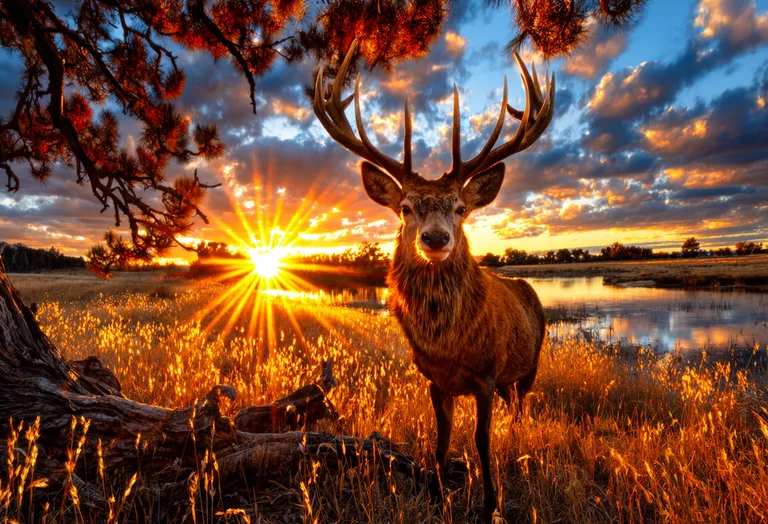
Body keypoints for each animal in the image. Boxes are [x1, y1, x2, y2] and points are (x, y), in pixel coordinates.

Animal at [313, 40, 554, 522]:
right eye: (406, 207)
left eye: (461, 208)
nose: (436, 238)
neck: (449, 347)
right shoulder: (434, 379)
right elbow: (441, 444)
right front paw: (438, 496)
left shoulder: (486, 374)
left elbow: (481, 441)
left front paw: (490, 504)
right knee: (514, 407)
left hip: (530, 364)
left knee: (522, 407)